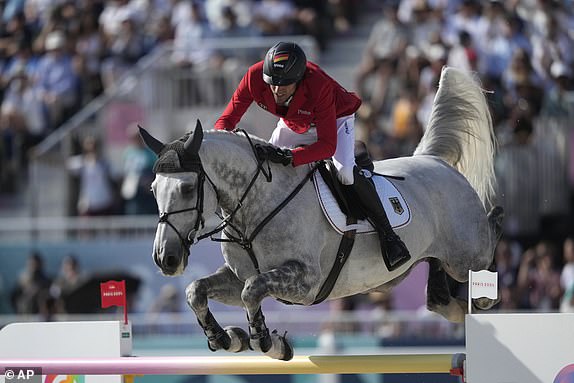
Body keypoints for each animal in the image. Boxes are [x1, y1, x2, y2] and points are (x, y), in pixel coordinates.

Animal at [141, 67, 504, 362]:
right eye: (153, 190)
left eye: (188, 188)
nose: (165, 259)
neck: (255, 206)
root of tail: (433, 160)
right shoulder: (237, 276)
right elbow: (197, 290)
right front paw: (228, 337)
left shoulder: (305, 281)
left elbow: (252, 291)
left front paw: (267, 343)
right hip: (432, 263)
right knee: (441, 301)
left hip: (464, 255)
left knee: (484, 252)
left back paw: (493, 248)